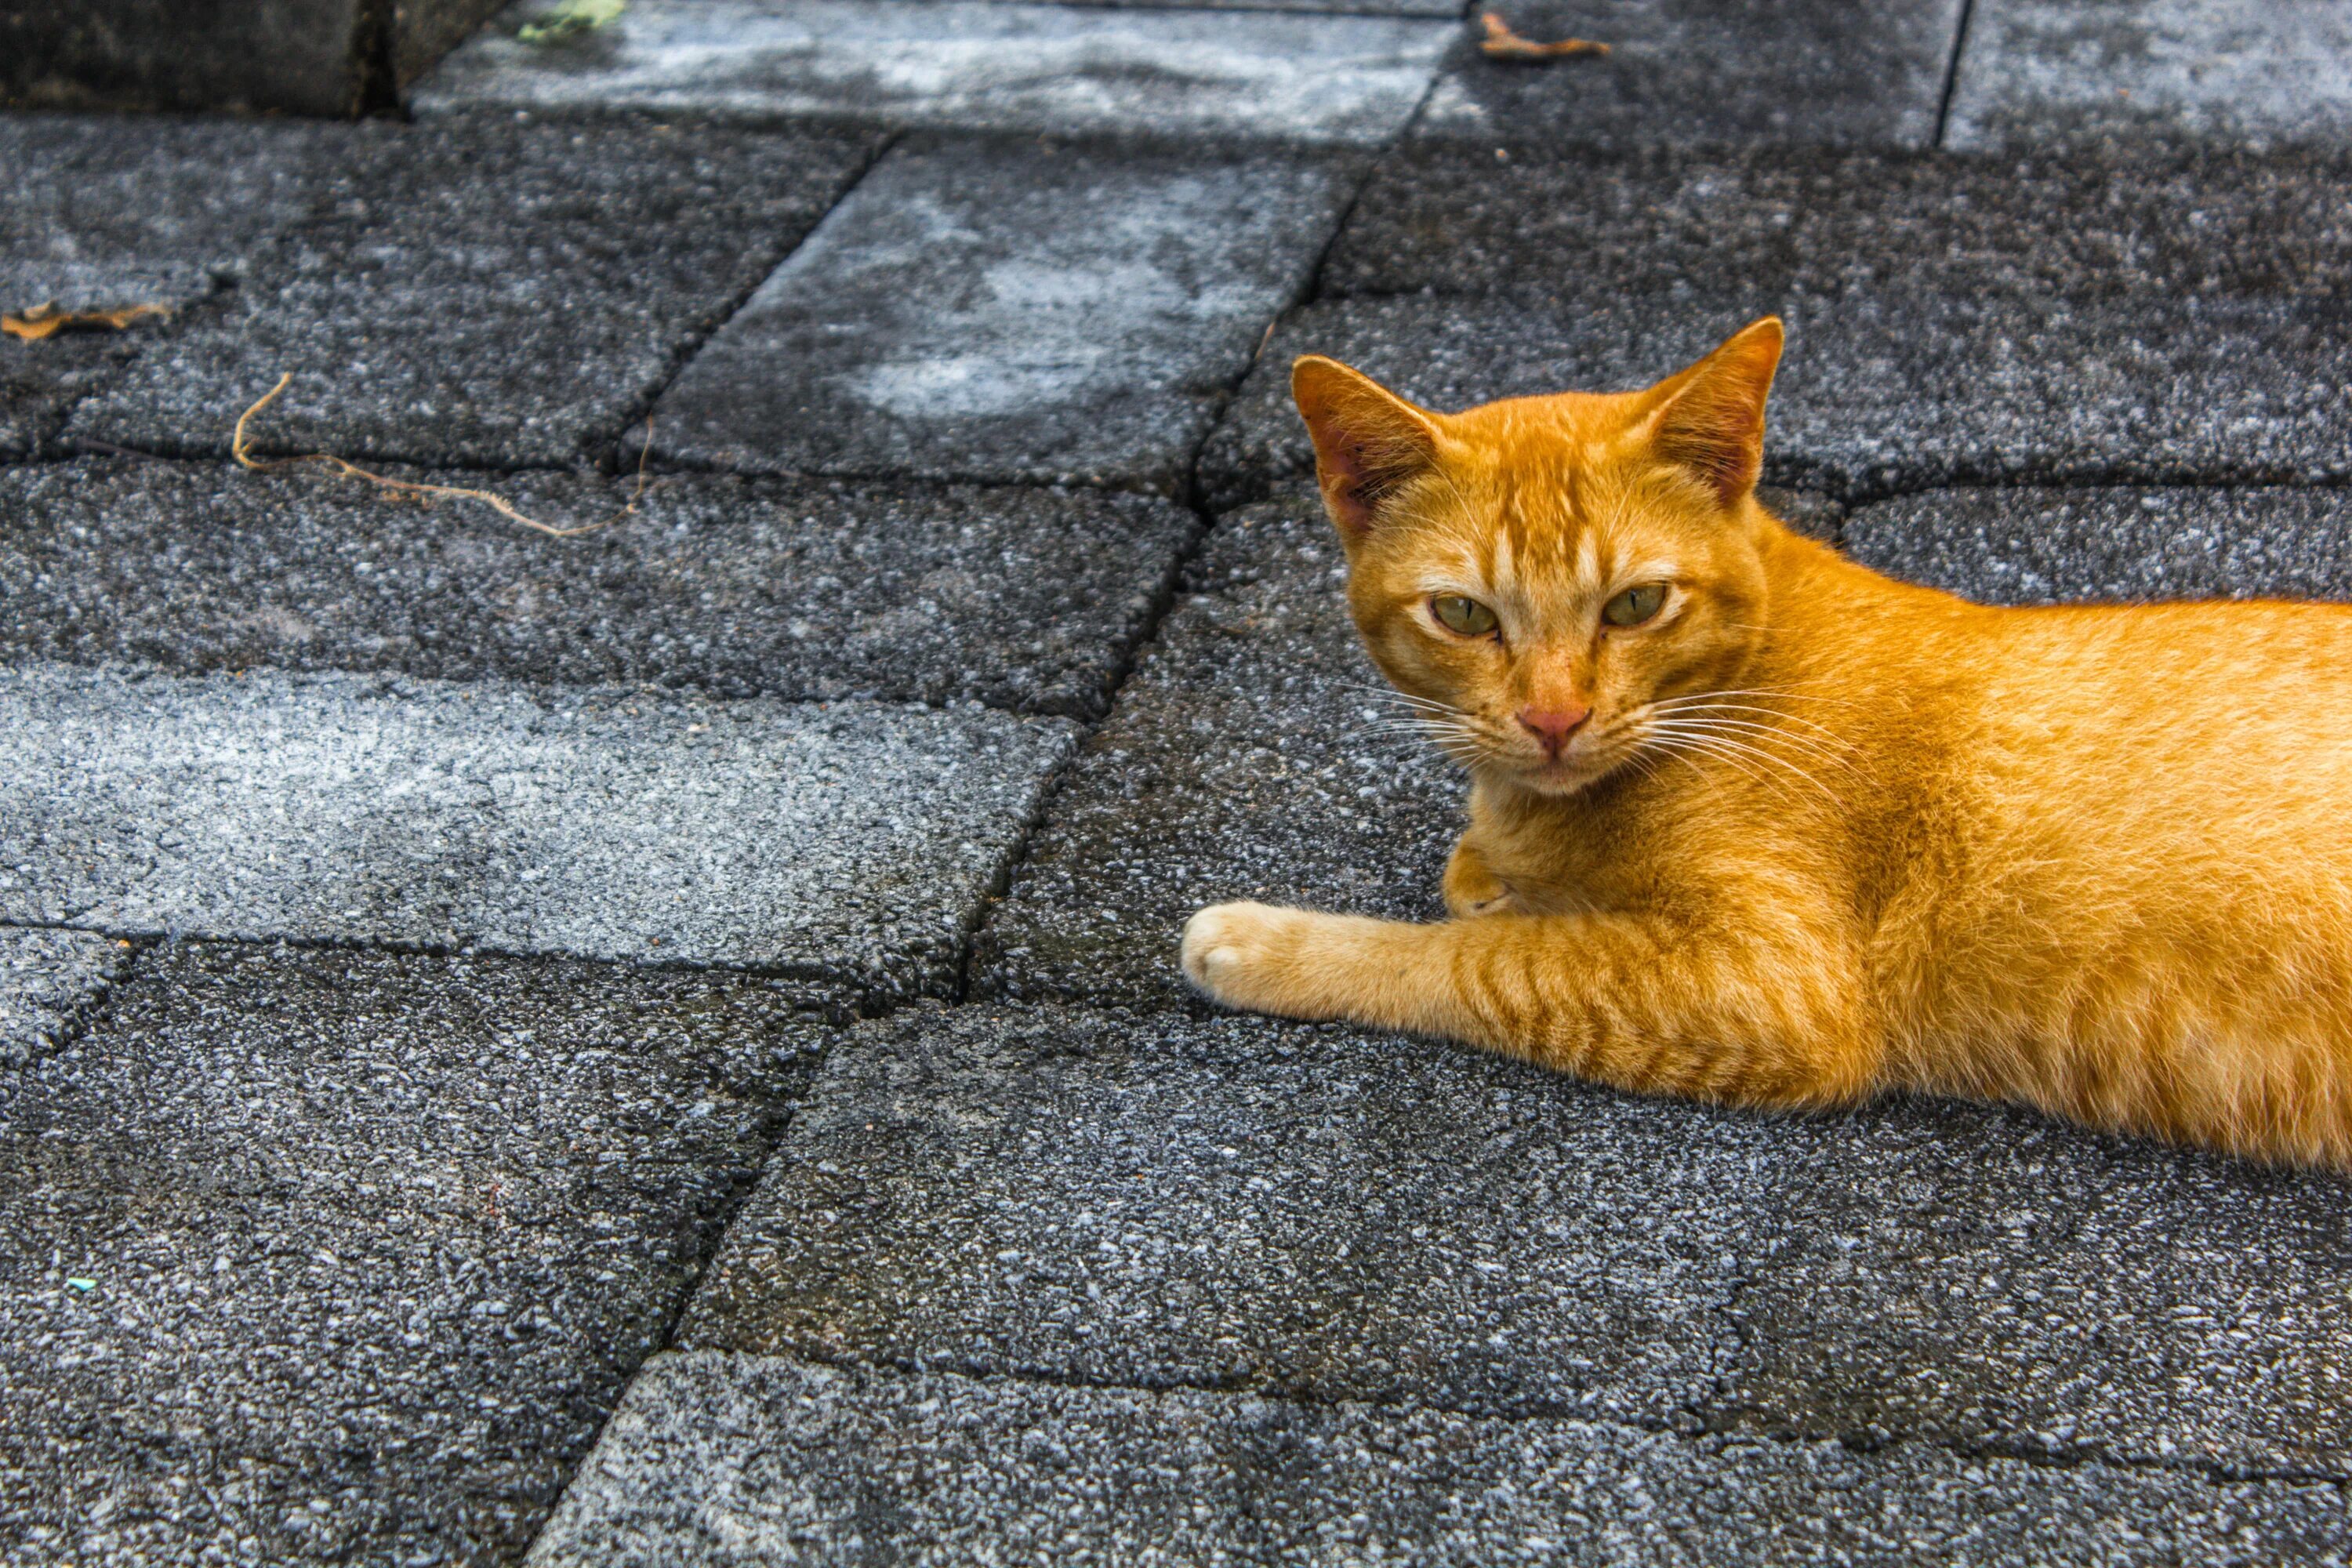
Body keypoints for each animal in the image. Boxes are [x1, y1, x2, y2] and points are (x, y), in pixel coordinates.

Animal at [1176, 319, 2352, 1171]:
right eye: (1463, 615)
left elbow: (1481, 960)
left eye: (1636, 604)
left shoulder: (1774, 986)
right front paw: (1498, 860)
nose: (1553, 719)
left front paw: (1274, 945)